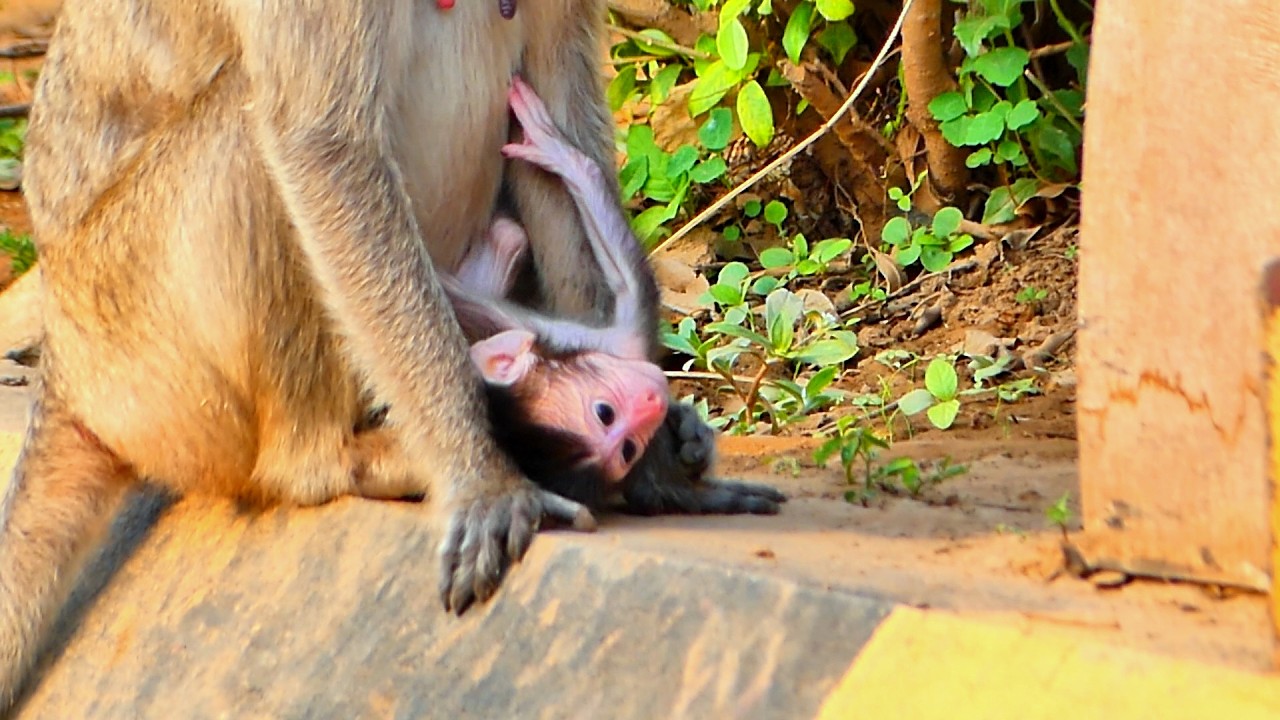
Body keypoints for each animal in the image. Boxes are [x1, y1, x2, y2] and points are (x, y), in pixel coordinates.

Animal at [0, 0, 782, 707]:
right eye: (601, 416)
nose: (636, 415)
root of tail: (68, 368)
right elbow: (321, 141)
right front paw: (485, 477)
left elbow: (558, 83)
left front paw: (655, 468)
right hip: (138, 341)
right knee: (251, 127)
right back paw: (330, 459)